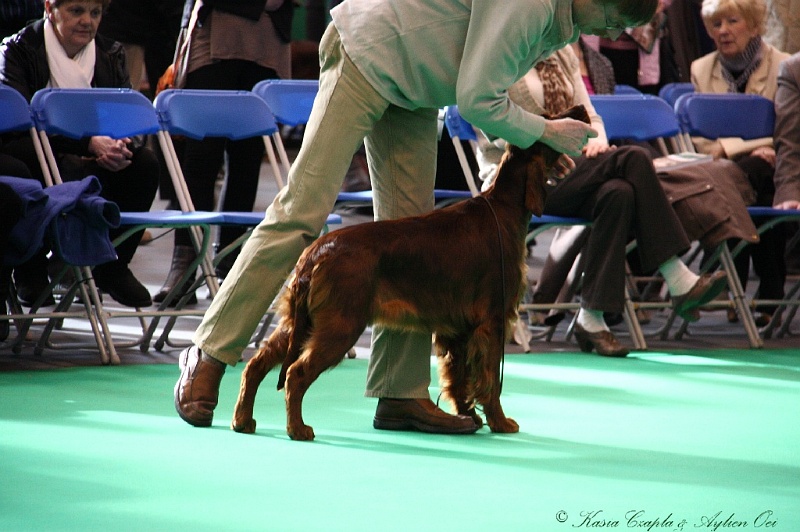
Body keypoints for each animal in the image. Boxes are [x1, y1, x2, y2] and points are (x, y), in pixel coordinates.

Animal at [234, 104, 592, 440]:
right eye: (549, 117)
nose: (581, 109)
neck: (504, 208)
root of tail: (314, 253)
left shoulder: (457, 330)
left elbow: (459, 380)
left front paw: (468, 419)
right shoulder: (491, 322)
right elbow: (489, 381)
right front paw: (500, 423)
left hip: (301, 322)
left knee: (256, 363)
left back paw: (243, 420)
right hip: (339, 325)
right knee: (295, 374)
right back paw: (298, 429)